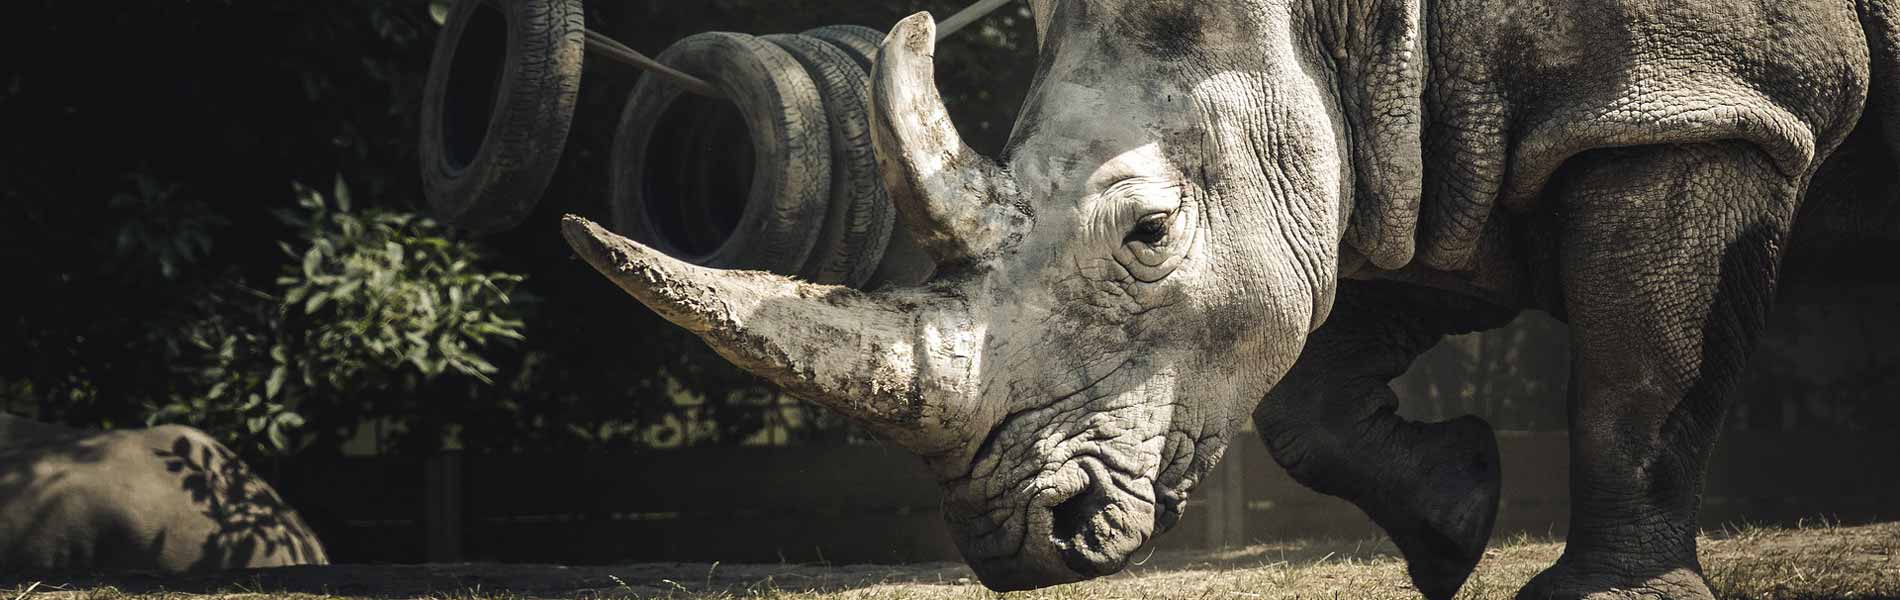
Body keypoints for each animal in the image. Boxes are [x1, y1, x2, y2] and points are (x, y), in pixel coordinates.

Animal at [562, 0, 1900, 598]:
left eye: (1150, 233)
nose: (1018, 548)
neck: (1354, 21)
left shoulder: (1692, 101)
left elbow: (1639, 372)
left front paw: (1606, 597)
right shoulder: (1421, 147)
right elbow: (1312, 390)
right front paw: (1452, 523)